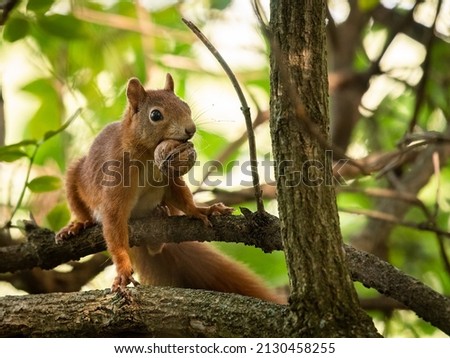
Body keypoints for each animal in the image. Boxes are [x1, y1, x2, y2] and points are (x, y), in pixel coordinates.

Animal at [55, 74, 282, 304]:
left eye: (185, 105)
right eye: (155, 115)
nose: (191, 129)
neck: (148, 156)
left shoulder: (169, 176)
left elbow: (182, 197)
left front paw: (201, 210)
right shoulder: (116, 180)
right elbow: (113, 221)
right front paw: (122, 268)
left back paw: (160, 212)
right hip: (75, 176)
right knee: (81, 207)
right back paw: (78, 224)